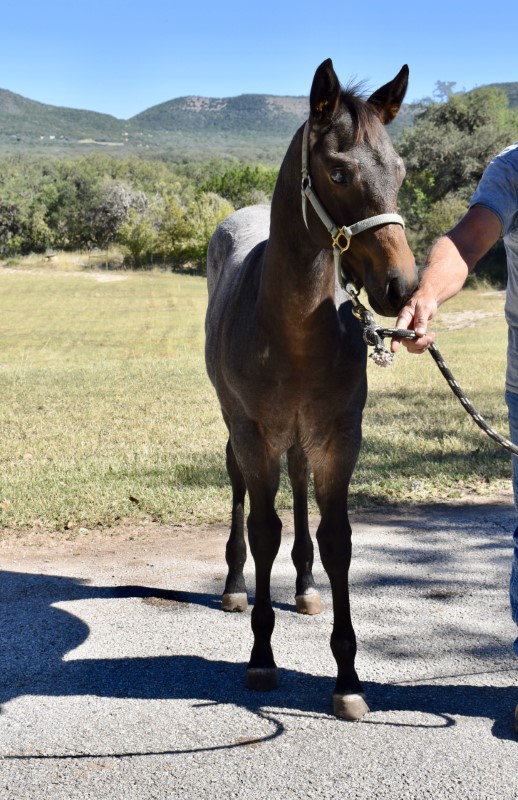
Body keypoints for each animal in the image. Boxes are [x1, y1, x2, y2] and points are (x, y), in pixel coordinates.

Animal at [205, 56, 420, 720]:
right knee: (241, 493)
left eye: (399, 170)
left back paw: (303, 587)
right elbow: (264, 531)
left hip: (301, 439)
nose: (402, 287)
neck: (294, 328)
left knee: (299, 489)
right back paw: (233, 587)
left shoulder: (338, 437)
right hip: (242, 429)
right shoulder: (255, 435)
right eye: (338, 170)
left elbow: (337, 541)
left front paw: (348, 678)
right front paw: (261, 659)